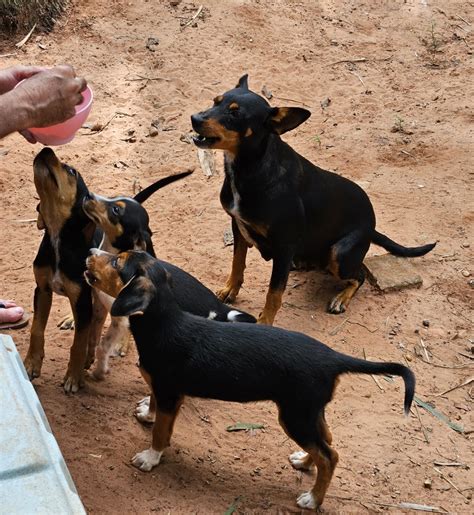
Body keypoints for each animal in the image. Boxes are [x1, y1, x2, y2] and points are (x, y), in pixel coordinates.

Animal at [23, 149, 106, 396]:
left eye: (71, 171)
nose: (45, 149)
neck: (59, 238)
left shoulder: (81, 299)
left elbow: (78, 343)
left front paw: (74, 377)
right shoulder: (42, 289)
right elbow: (36, 329)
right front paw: (31, 364)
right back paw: (71, 319)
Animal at [84, 250, 414, 512]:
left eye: (116, 261)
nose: (89, 251)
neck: (164, 322)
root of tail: (331, 356)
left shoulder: (168, 392)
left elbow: (160, 434)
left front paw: (151, 458)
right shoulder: (166, 391)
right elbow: (155, 408)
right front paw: (147, 415)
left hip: (294, 415)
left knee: (330, 456)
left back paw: (312, 499)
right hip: (308, 412)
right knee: (326, 443)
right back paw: (304, 462)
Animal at [191, 75, 436, 326]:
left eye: (235, 114)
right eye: (215, 101)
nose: (195, 118)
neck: (249, 168)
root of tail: (372, 227)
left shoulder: (284, 244)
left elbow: (274, 293)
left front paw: (265, 324)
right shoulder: (238, 226)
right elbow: (237, 263)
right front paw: (230, 289)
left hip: (339, 254)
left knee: (359, 276)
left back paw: (341, 298)